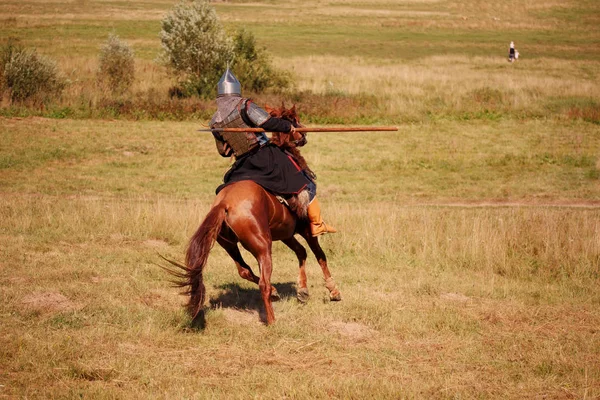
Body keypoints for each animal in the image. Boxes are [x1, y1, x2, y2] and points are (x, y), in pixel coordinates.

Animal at [164, 104, 340, 328]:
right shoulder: (304, 228)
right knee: (263, 282)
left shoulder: (285, 233)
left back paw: (274, 292)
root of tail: (224, 204)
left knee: (245, 270)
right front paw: (333, 290)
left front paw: (302, 290)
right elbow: (319, 255)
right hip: (263, 246)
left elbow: (301, 253)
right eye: (294, 120)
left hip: (229, 244)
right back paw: (272, 320)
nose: (303, 135)